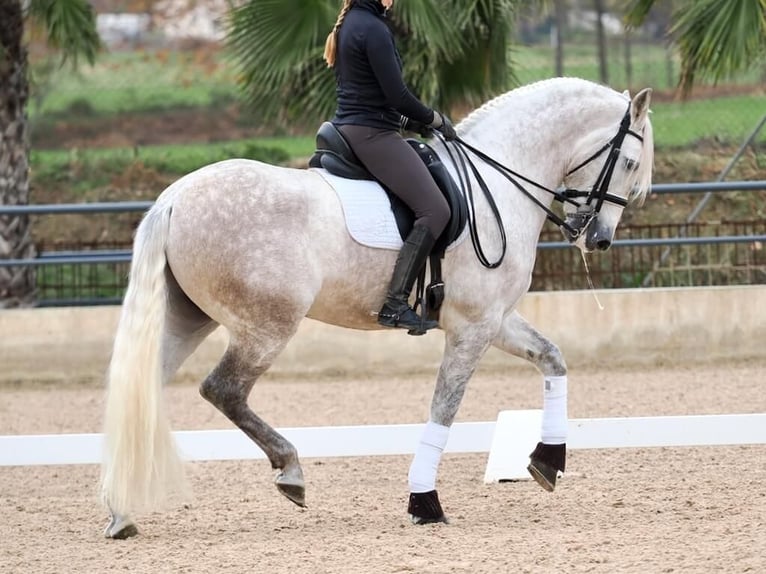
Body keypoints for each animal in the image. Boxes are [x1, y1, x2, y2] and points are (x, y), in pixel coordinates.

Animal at [100, 76, 656, 540]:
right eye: (630, 162)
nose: (598, 238)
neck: (495, 184)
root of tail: (174, 198)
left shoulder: (493, 320)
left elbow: (552, 358)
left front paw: (548, 461)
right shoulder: (472, 327)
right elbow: (444, 410)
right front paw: (424, 503)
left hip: (187, 319)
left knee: (138, 391)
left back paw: (120, 510)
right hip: (266, 326)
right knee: (223, 390)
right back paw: (290, 471)